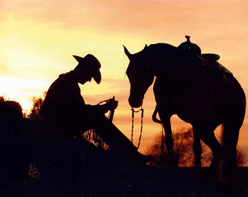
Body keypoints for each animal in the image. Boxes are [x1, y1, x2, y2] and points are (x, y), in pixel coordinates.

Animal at [124, 41, 246, 182]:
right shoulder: (165, 113)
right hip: (206, 126)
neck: (174, 74)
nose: (134, 101)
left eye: (144, 69)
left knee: (222, 151)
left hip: (226, 125)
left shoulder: (195, 118)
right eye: (128, 73)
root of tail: (238, 87)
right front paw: (173, 170)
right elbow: (170, 142)